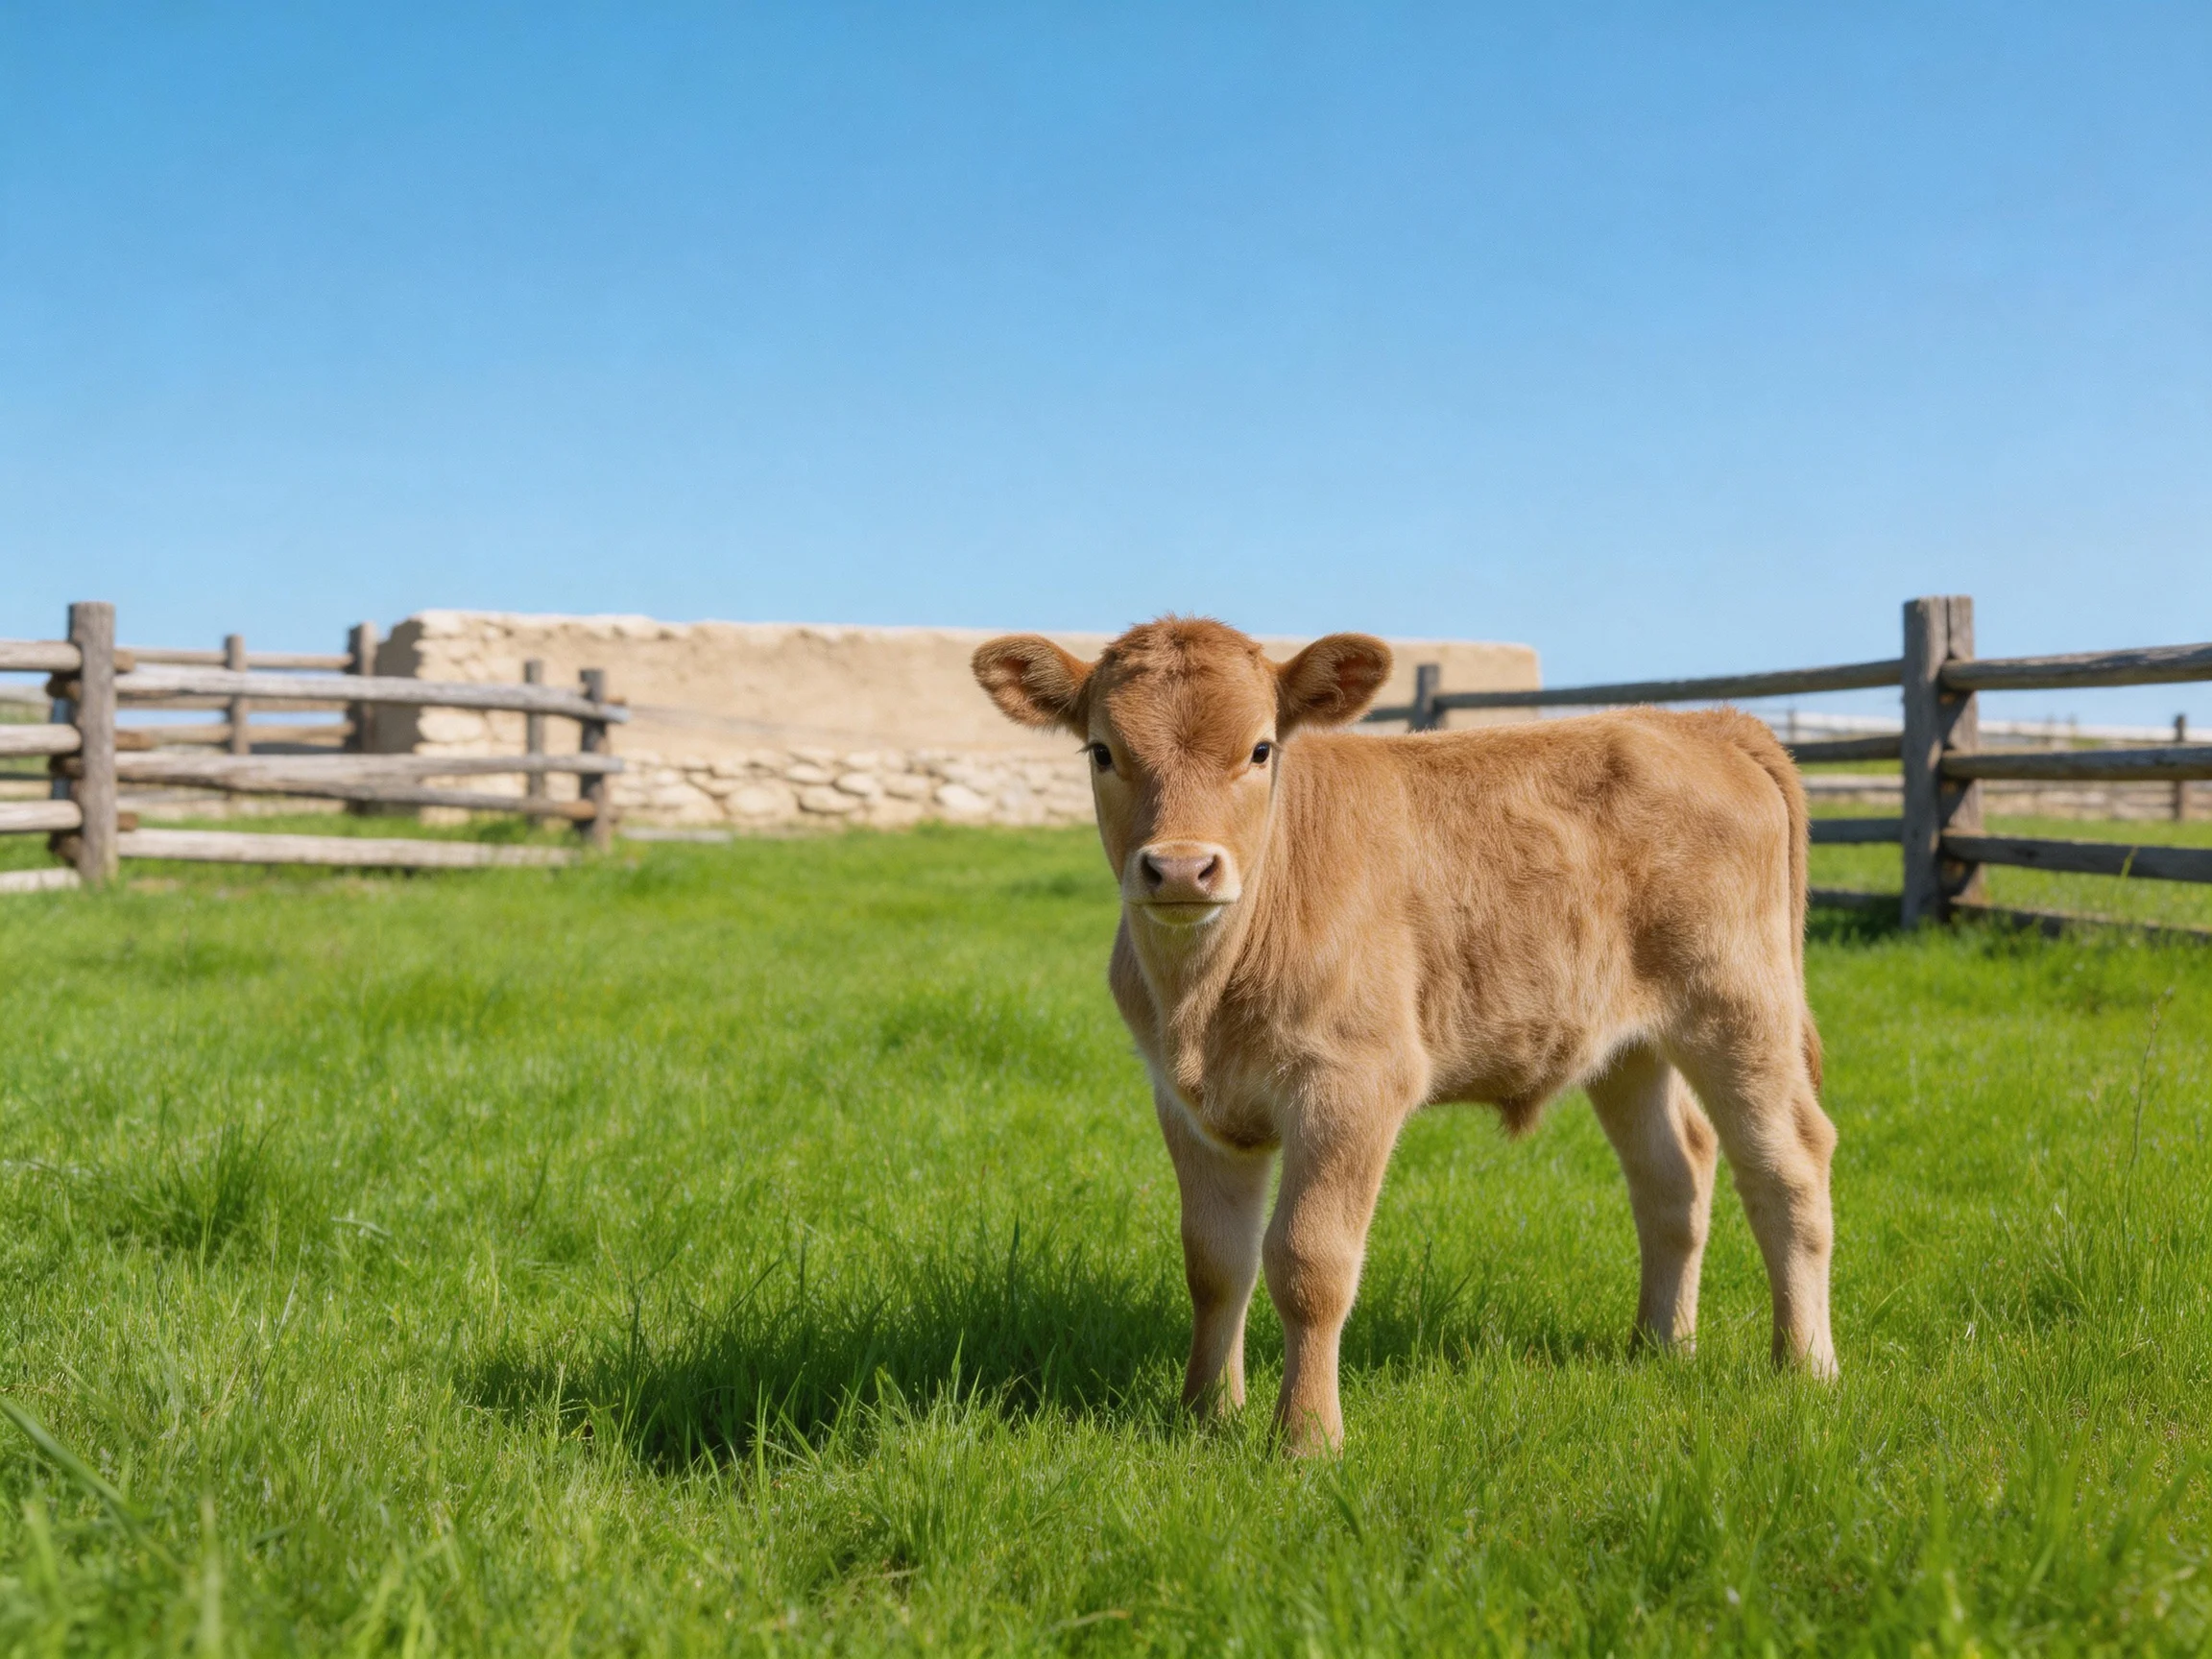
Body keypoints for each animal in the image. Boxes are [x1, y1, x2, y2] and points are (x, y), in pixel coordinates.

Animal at [971, 617, 1836, 1453]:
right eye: (1102, 751)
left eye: (1260, 748)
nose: (1182, 869)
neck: (1204, 999)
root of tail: (1699, 722)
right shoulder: (1186, 1103)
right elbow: (1215, 1262)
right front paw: (1206, 1415)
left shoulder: (1354, 1085)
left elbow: (1308, 1262)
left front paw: (1307, 1438)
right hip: (1626, 1045)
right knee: (1673, 1174)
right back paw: (1659, 1346)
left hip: (1739, 1007)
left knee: (1788, 1167)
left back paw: (1804, 1367)